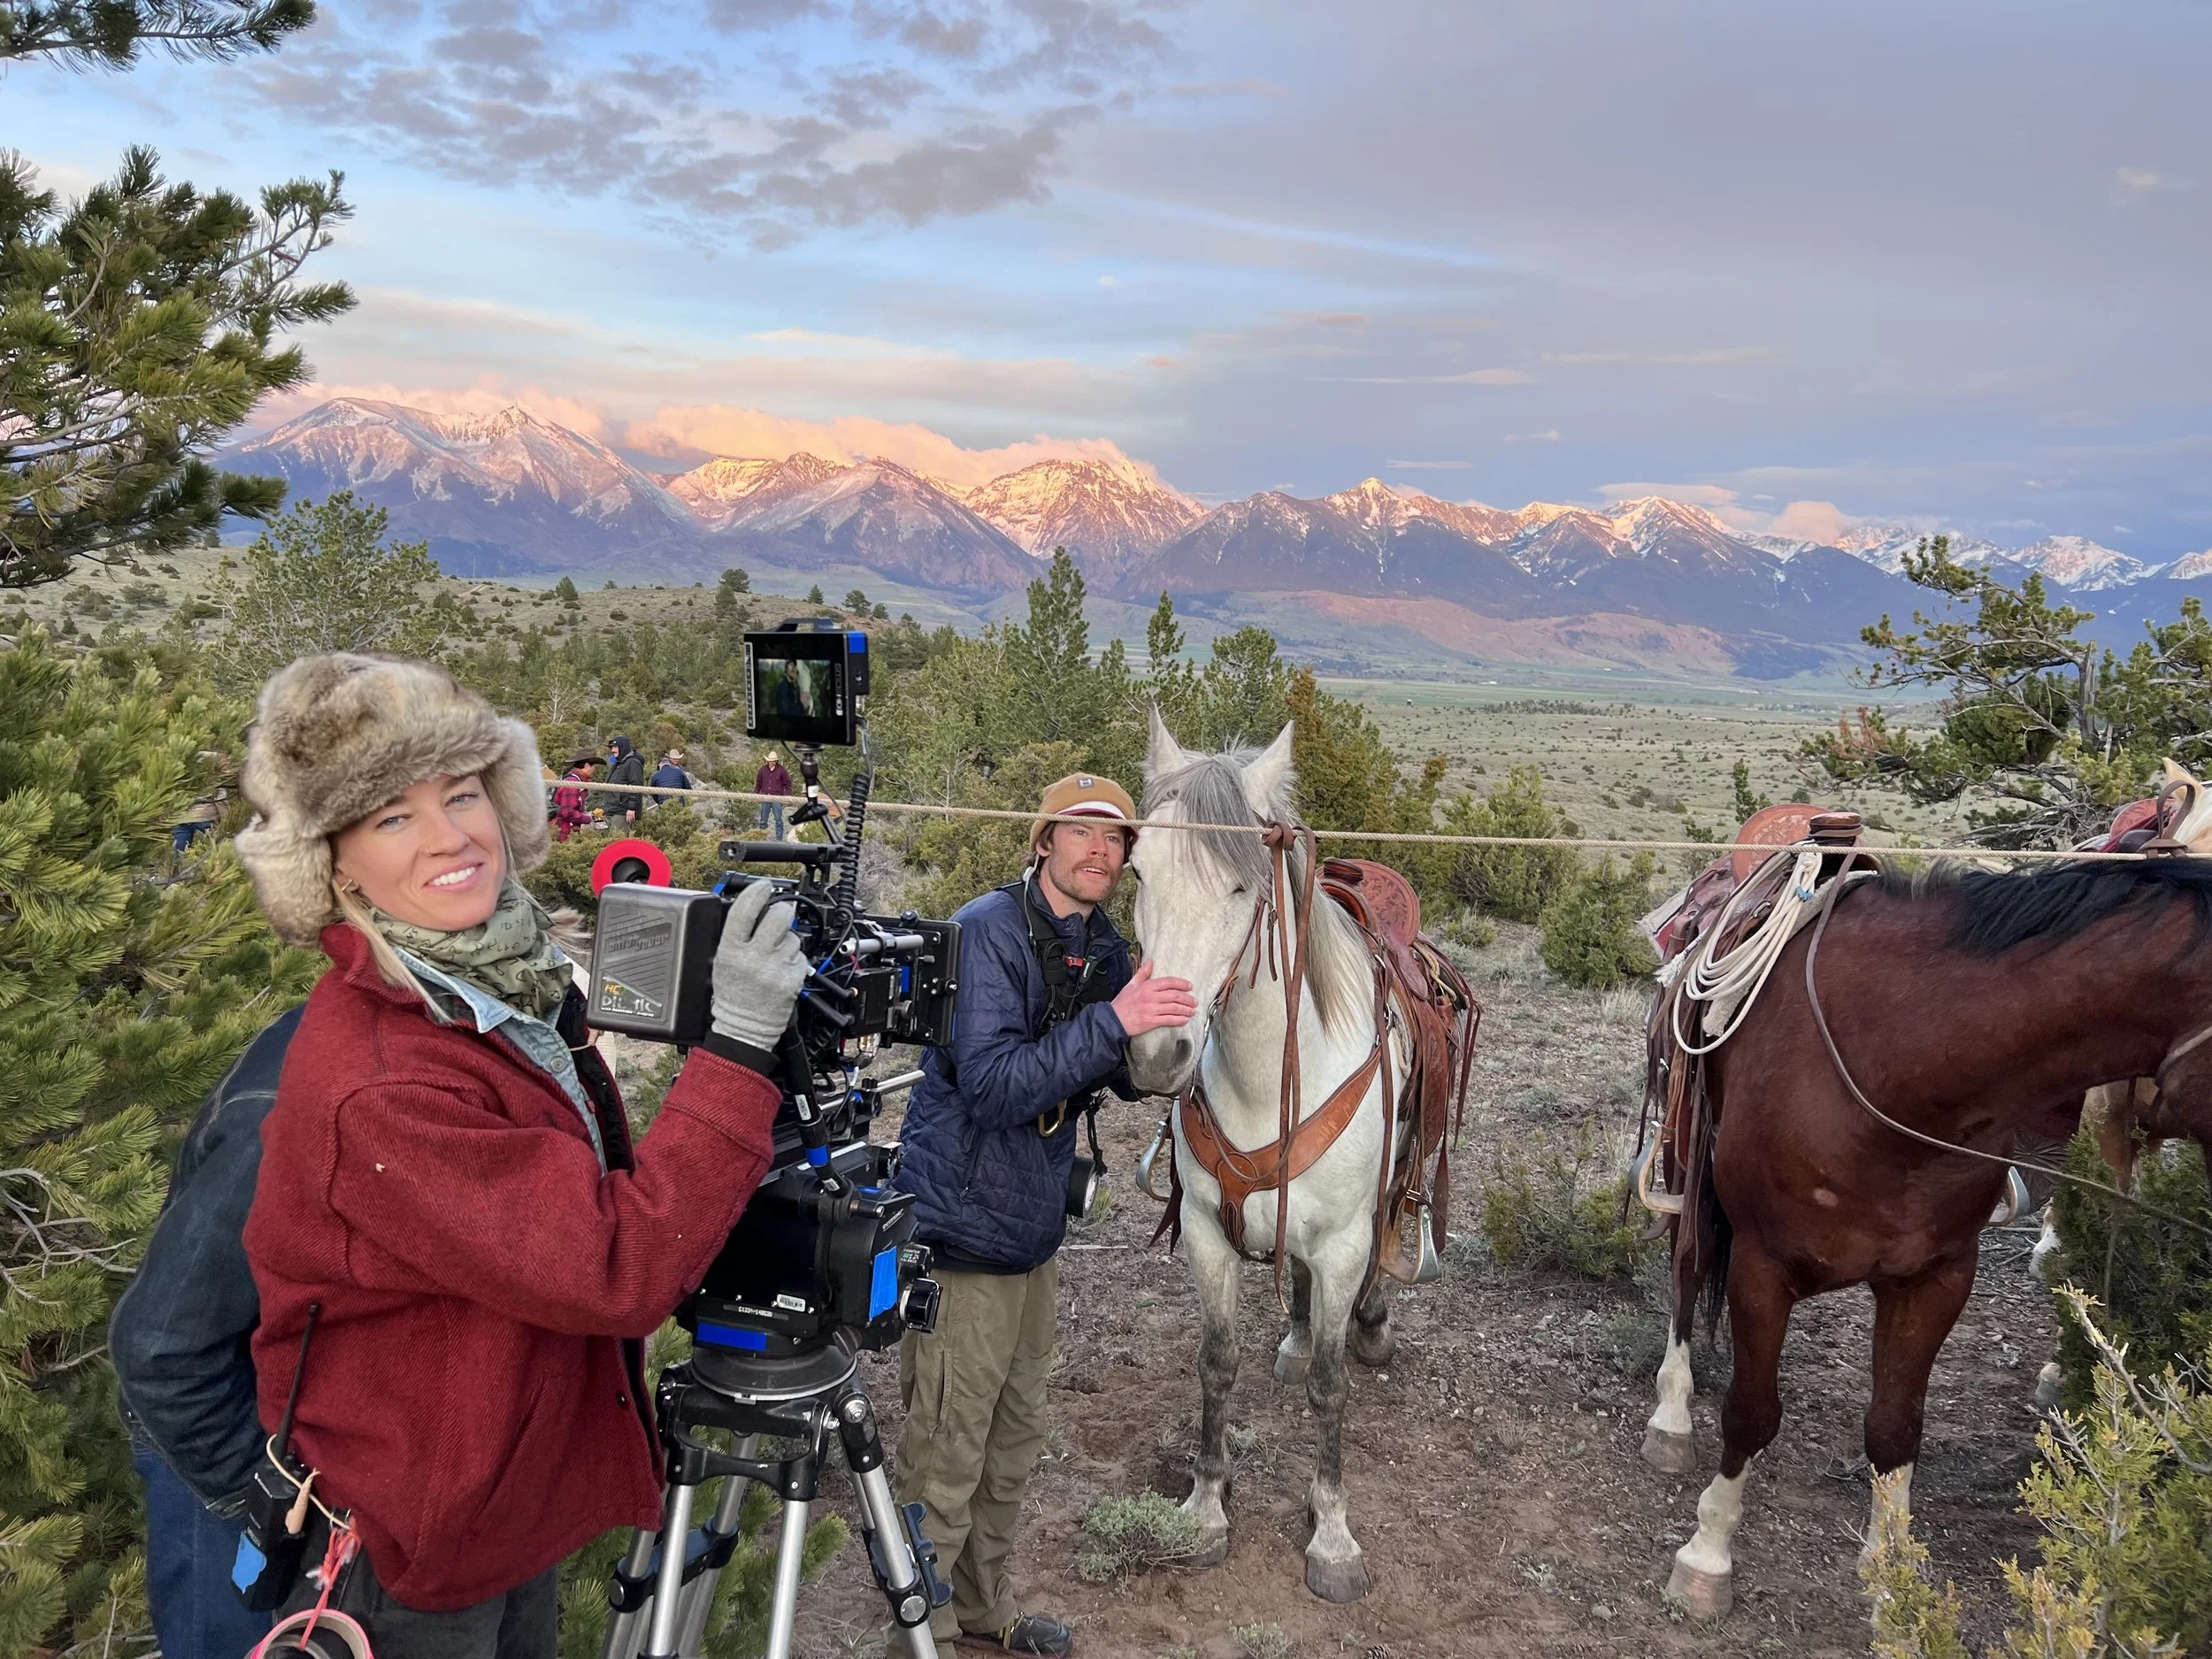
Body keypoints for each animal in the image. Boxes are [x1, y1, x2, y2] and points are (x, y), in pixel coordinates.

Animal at [1124, 714, 1427, 1603]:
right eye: (1139, 870)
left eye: (1238, 887)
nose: (1156, 1052)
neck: (1270, 1077)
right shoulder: (1204, 1230)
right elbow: (1216, 1362)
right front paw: (1205, 1503)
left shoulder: (1345, 1242)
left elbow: (1332, 1387)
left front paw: (1331, 1532)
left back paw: (1368, 1321)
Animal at [1640, 853, 2212, 1617]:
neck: (1903, 1066)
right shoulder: (1763, 1266)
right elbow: (1751, 1412)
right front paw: (1708, 1553)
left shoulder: (1935, 1278)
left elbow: (1895, 1427)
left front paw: (1891, 1580)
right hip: (1688, 1154)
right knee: (1688, 1266)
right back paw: (1671, 1416)